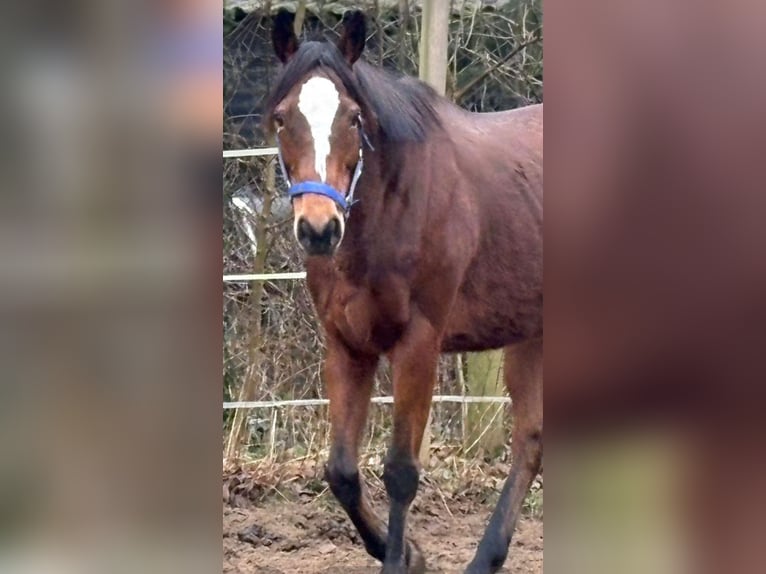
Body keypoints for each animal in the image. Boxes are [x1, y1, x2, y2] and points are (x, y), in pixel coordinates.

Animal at [264, 9, 542, 574]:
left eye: (353, 118)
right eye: (282, 118)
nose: (319, 229)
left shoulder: (418, 344)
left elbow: (400, 473)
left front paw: (400, 557)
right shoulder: (347, 345)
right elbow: (341, 471)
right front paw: (408, 552)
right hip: (529, 333)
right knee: (530, 439)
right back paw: (485, 559)